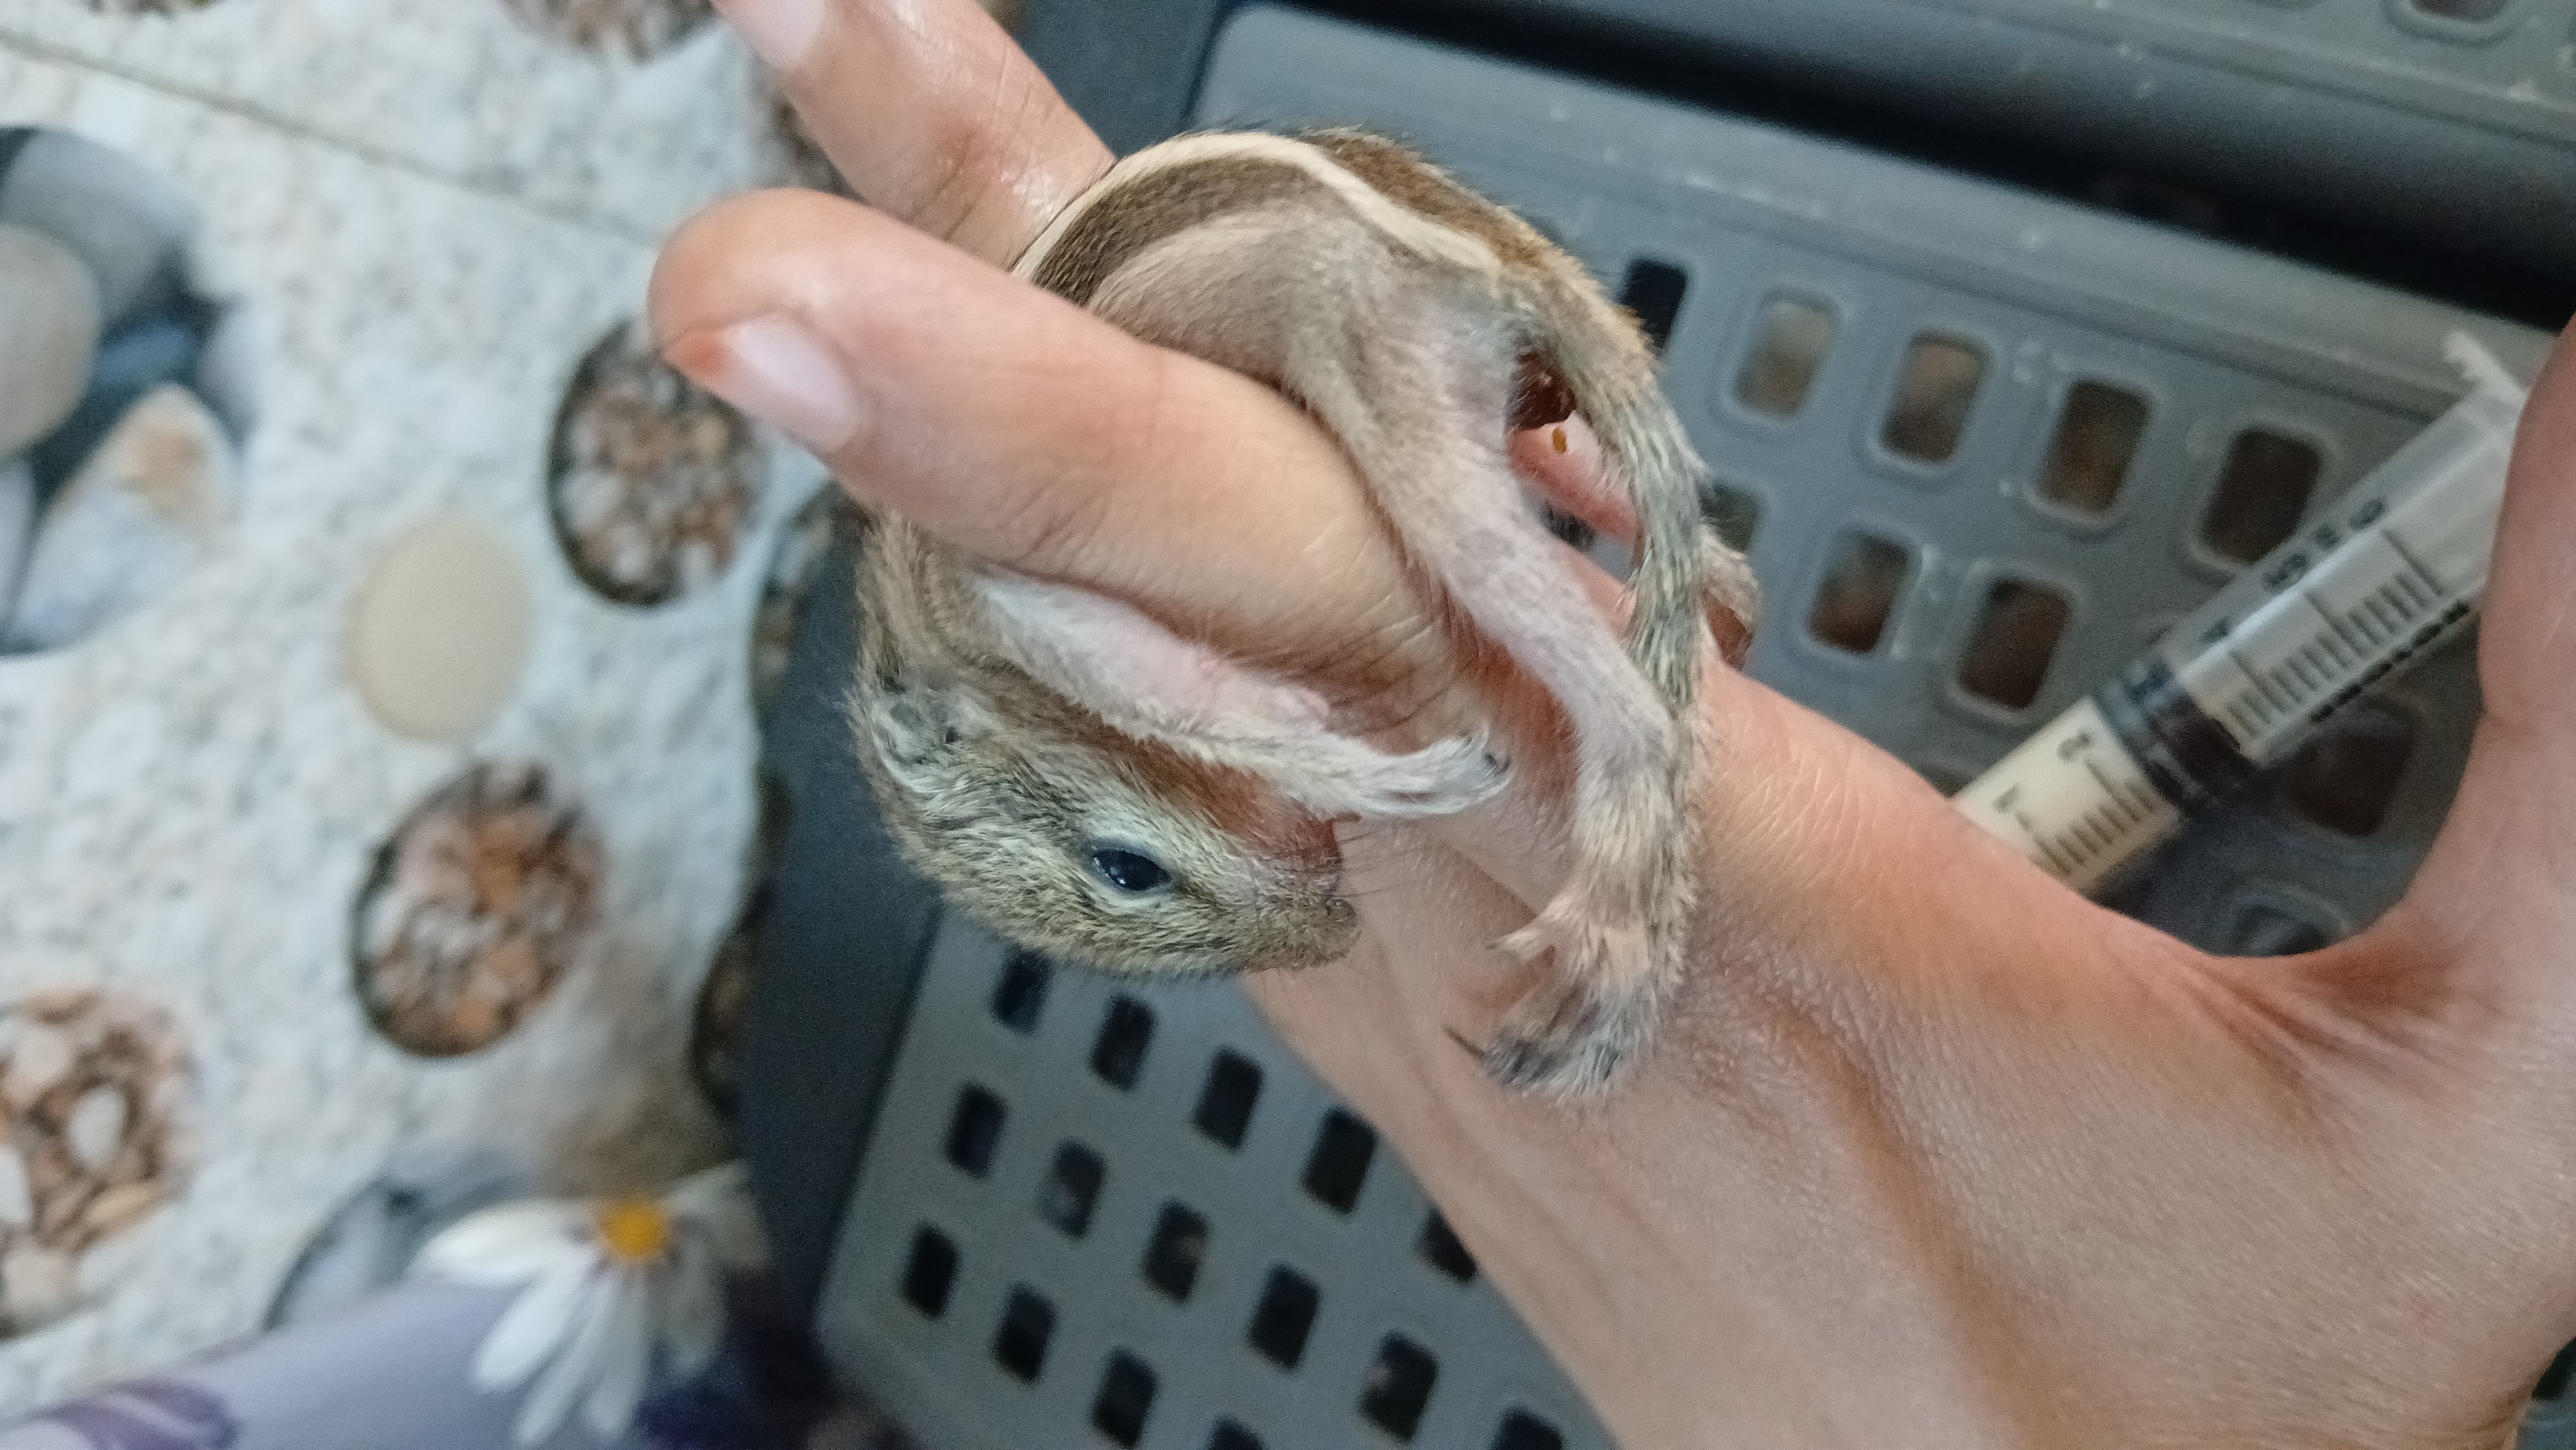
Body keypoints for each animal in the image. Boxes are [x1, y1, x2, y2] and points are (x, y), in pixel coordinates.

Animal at [850, 129, 1759, 1097]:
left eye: (1126, 870)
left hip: (1408, 410)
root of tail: (1509, 257)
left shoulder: (1009, 604)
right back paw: (1727, 598)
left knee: (1633, 711)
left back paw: (1604, 922)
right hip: (1533, 416)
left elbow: (1208, 700)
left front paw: (1404, 778)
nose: (1336, 936)